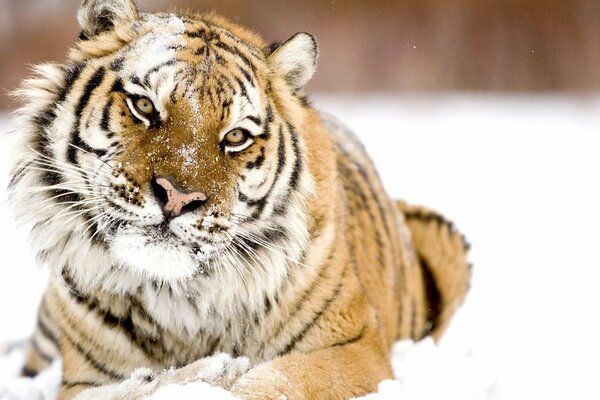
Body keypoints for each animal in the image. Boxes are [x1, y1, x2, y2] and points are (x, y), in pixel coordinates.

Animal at [7, 0, 472, 400]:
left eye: (235, 137)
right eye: (143, 106)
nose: (178, 198)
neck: (179, 302)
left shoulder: (354, 351)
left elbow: (274, 382)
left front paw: (219, 373)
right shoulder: (82, 381)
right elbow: (129, 389)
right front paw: (210, 370)